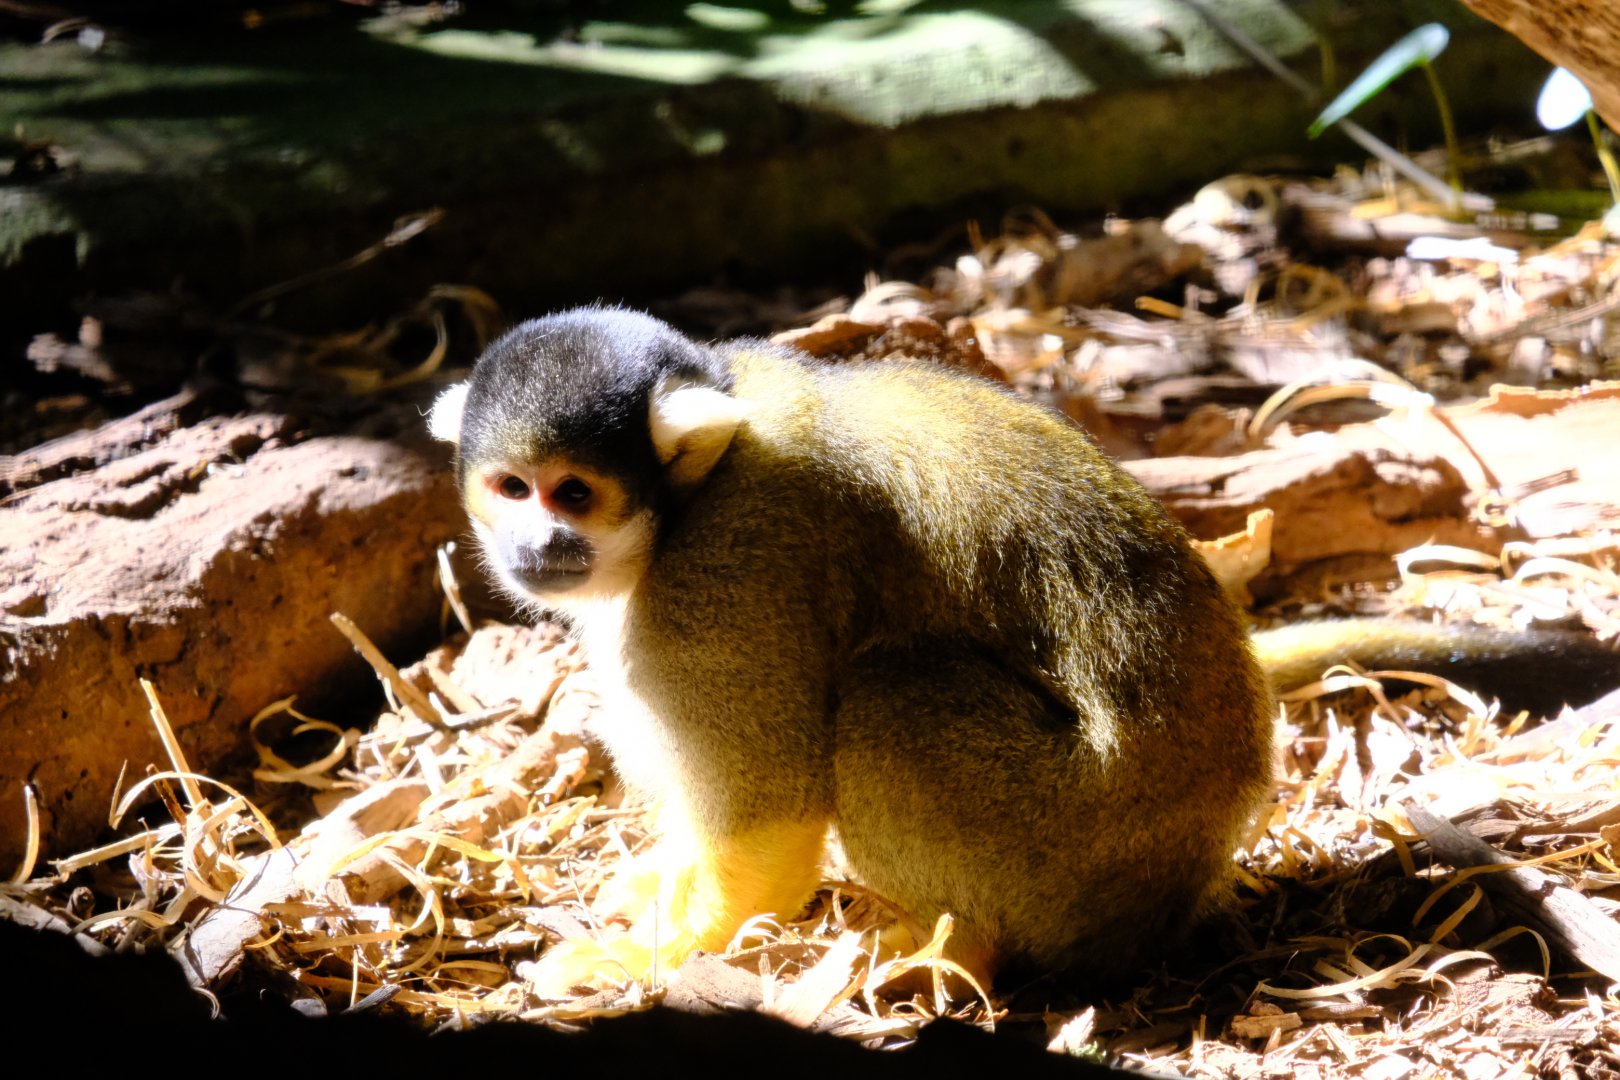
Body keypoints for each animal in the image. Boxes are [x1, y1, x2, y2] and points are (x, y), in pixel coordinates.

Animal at [428, 306, 1618, 994]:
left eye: (575, 494)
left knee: (890, 702)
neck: (688, 493)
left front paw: (659, 952)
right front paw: (658, 886)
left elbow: (769, 814)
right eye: (511, 488)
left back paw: (954, 955)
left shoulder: (726, 570)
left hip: (1066, 850)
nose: (538, 545)